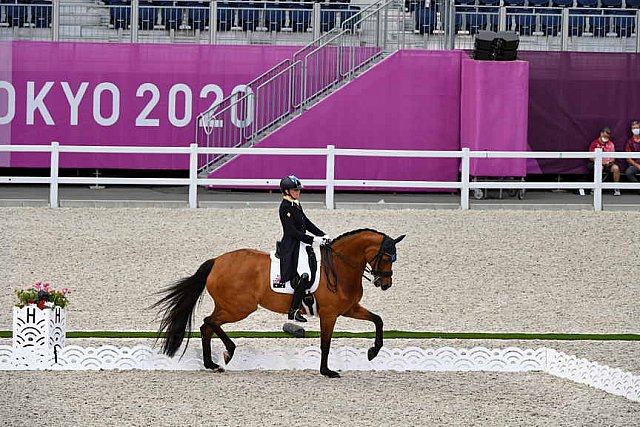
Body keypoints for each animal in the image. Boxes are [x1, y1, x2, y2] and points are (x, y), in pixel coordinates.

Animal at [154, 227, 404, 378]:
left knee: (207, 326)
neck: (340, 267)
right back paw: (228, 352)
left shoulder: (349, 309)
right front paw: (327, 371)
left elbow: (378, 320)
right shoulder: (330, 314)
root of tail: (217, 261)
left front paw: (373, 352)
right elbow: (325, 343)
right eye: (386, 256)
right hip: (239, 308)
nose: (385, 283)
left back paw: (212, 364)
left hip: (231, 307)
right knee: (209, 322)